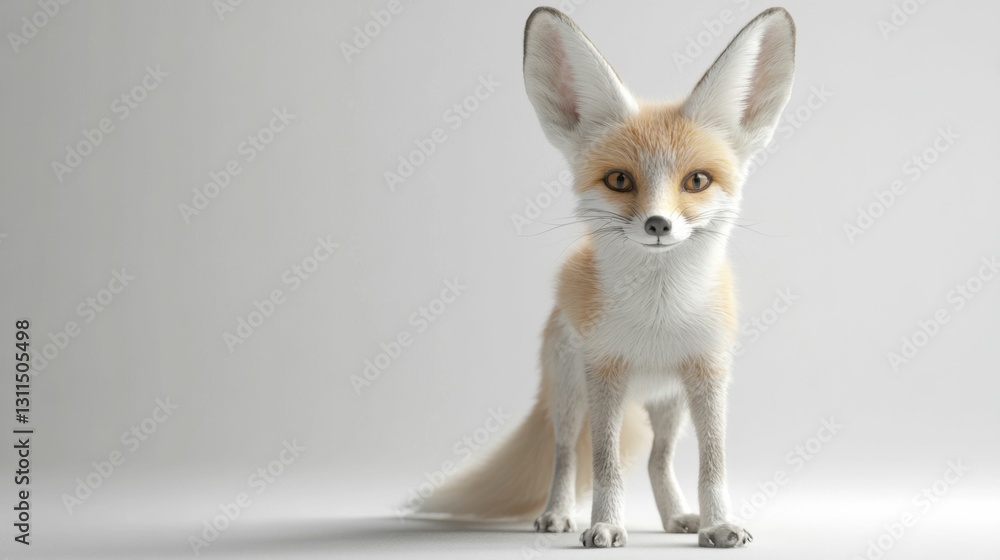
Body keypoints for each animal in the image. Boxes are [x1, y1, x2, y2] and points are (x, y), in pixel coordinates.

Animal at [416, 6, 796, 549]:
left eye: (696, 180)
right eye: (619, 180)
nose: (658, 224)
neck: (658, 317)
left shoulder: (708, 373)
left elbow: (713, 465)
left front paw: (718, 524)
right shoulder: (605, 373)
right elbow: (604, 464)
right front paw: (605, 524)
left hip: (669, 406)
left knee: (658, 460)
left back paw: (677, 518)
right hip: (572, 398)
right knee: (564, 456)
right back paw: (557, 514)